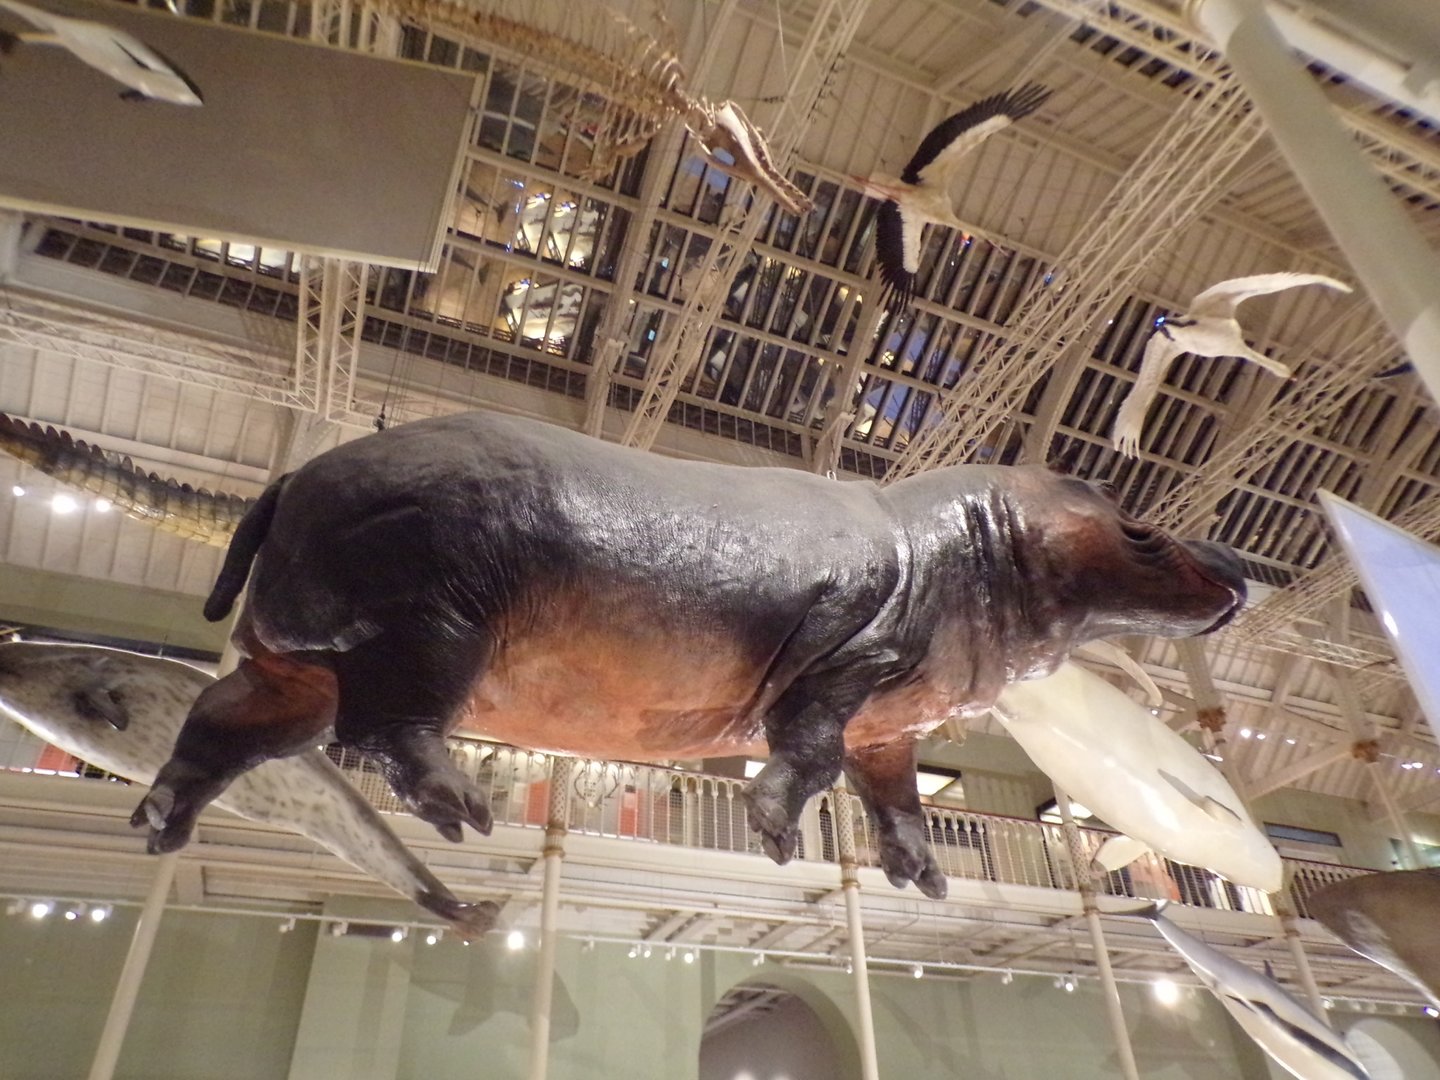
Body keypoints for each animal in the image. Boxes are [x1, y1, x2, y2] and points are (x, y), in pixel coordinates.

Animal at [133, 410, 1246, 899]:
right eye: (1140, 526)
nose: (1242, 565)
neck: (981, 539)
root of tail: (290, 476)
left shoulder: (895, 723)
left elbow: (897, 800)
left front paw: (924, 882)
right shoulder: (850, 667)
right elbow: (807, 753)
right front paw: (777, 840)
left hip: (295, 667)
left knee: (222, 724)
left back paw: (158, 826)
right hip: (436, 626)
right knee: (386, 730)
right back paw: (464, 811)